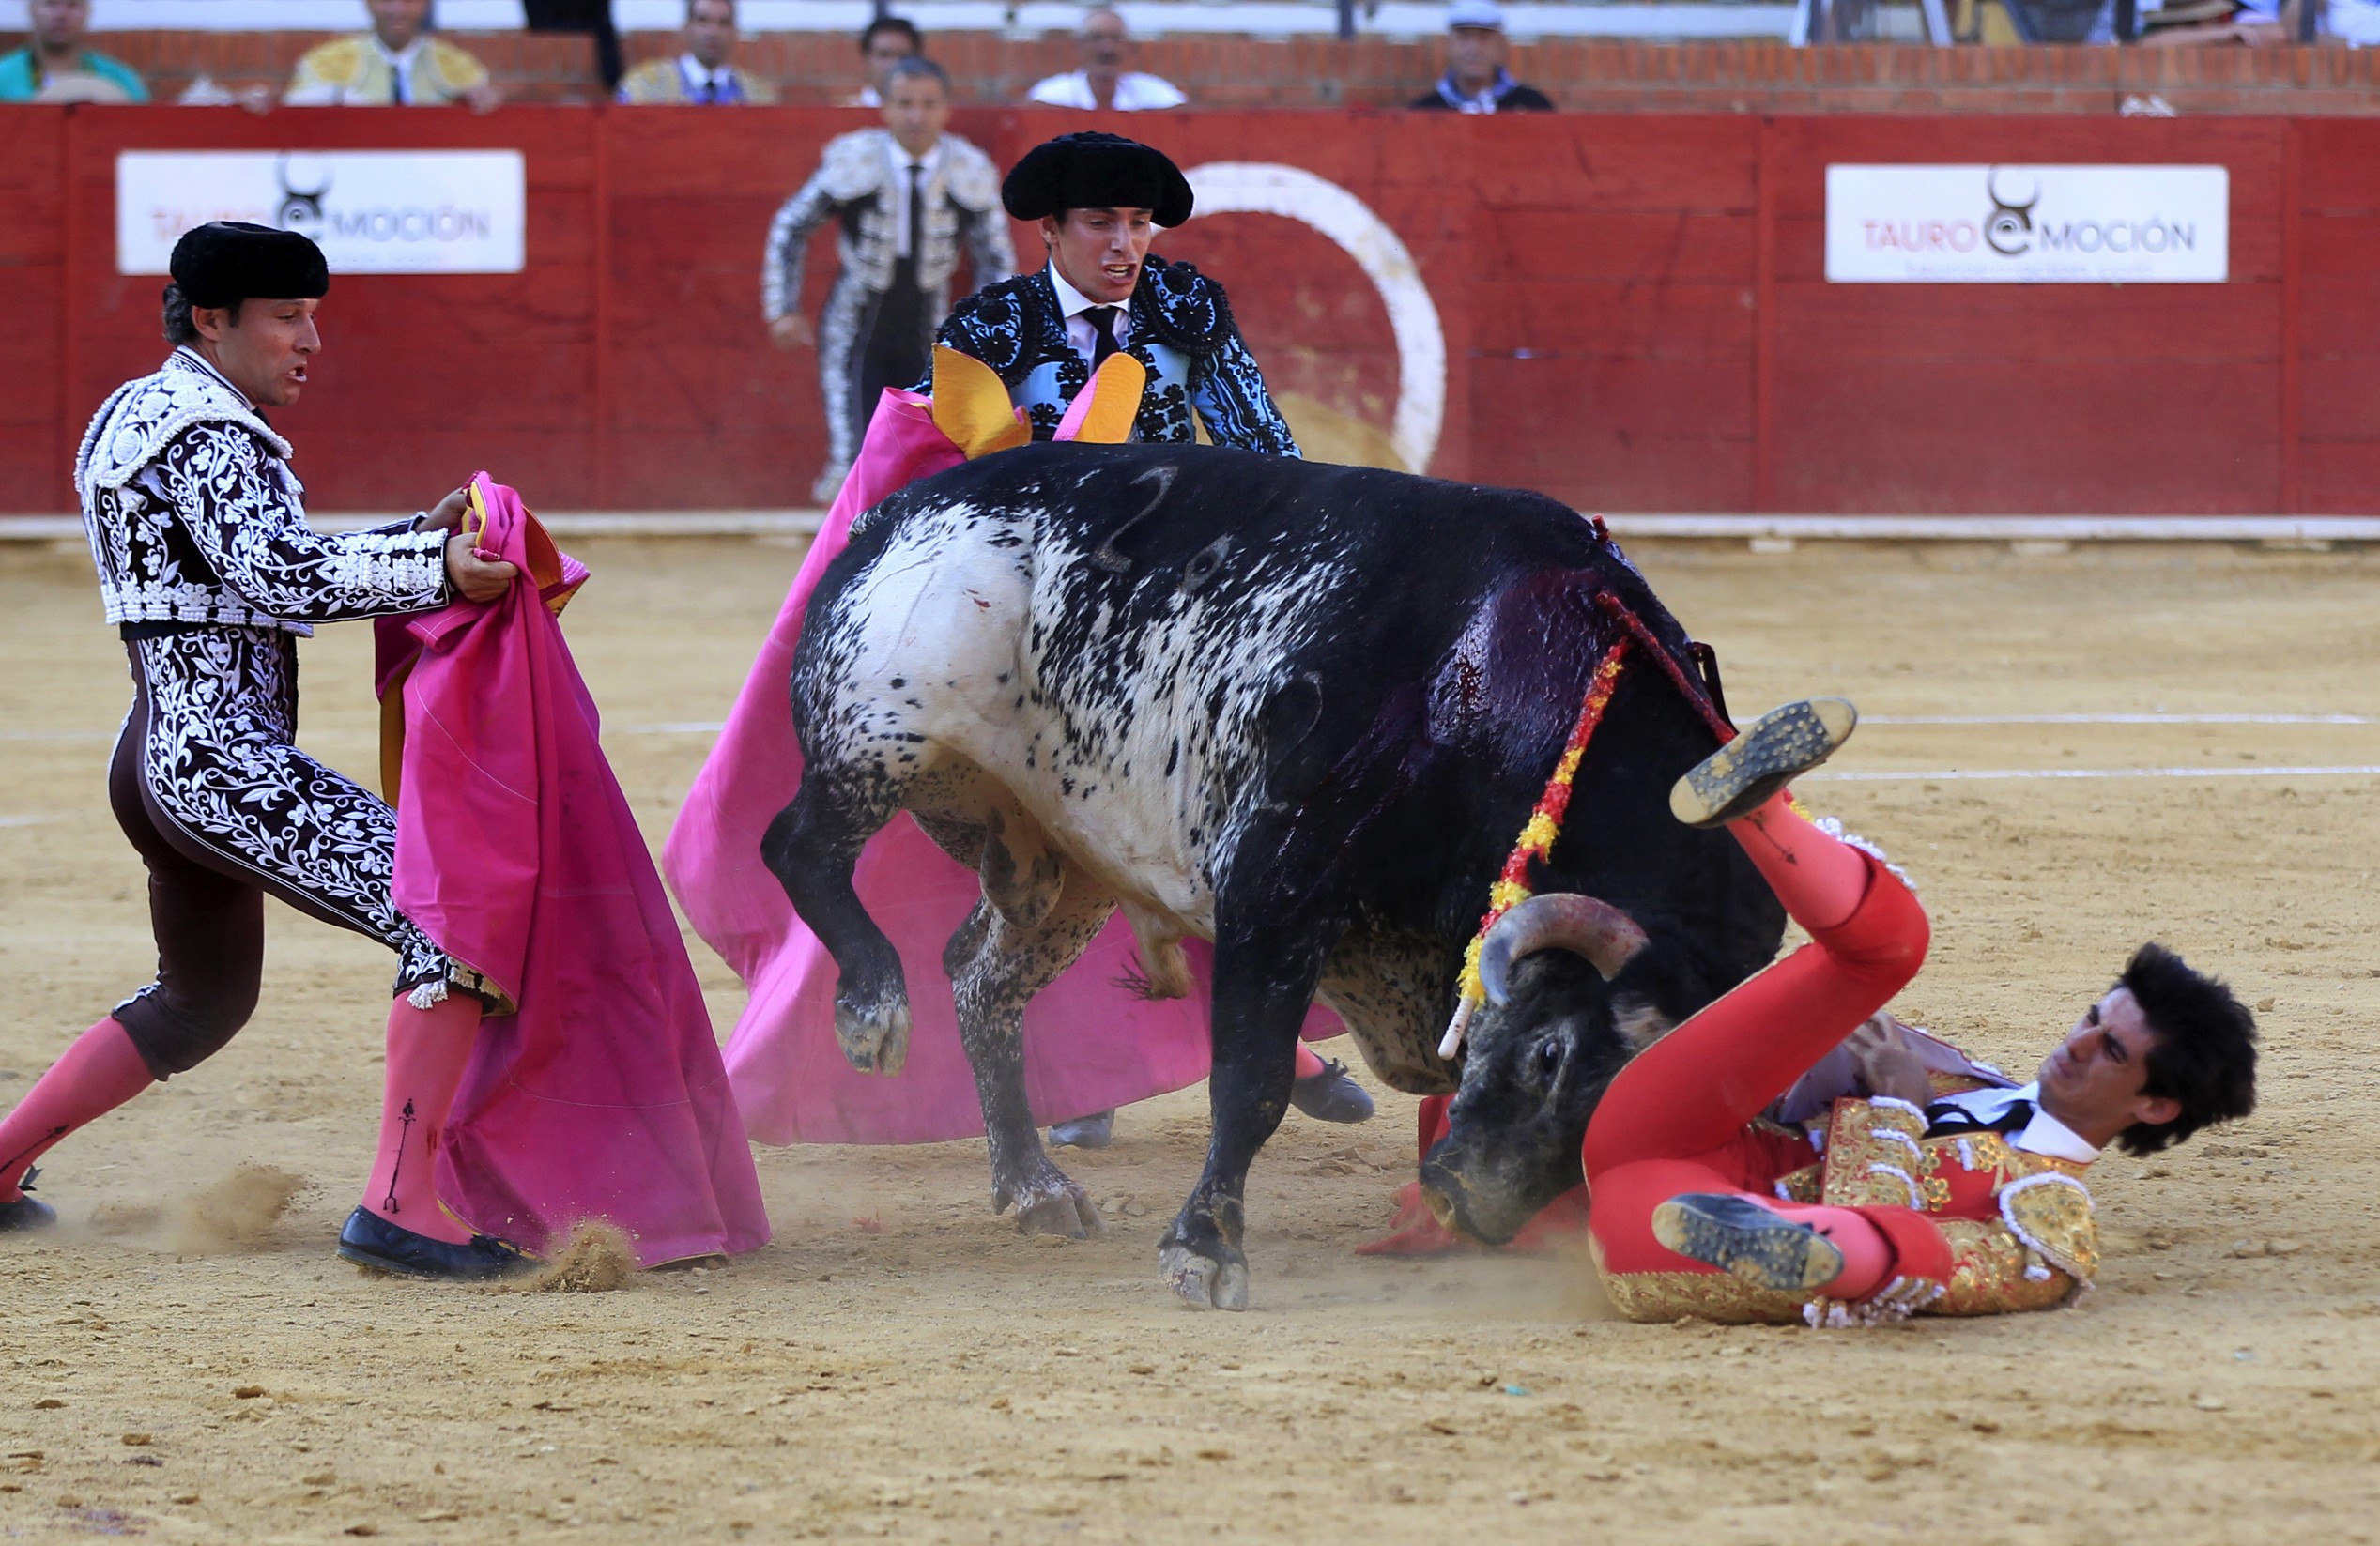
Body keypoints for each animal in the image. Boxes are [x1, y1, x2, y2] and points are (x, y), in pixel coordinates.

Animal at [761, 439, 1789, 1303]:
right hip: (880, 734)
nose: (1468, 1206)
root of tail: (895, 510)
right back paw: (871, 1011)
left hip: (1061, 861)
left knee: (981, 982)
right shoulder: (1277, 881)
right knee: (797, 847)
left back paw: (1034, 1188)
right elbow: (1248, 1083)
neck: (1505, 675)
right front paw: (1204, 1249)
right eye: (1549, 1056)